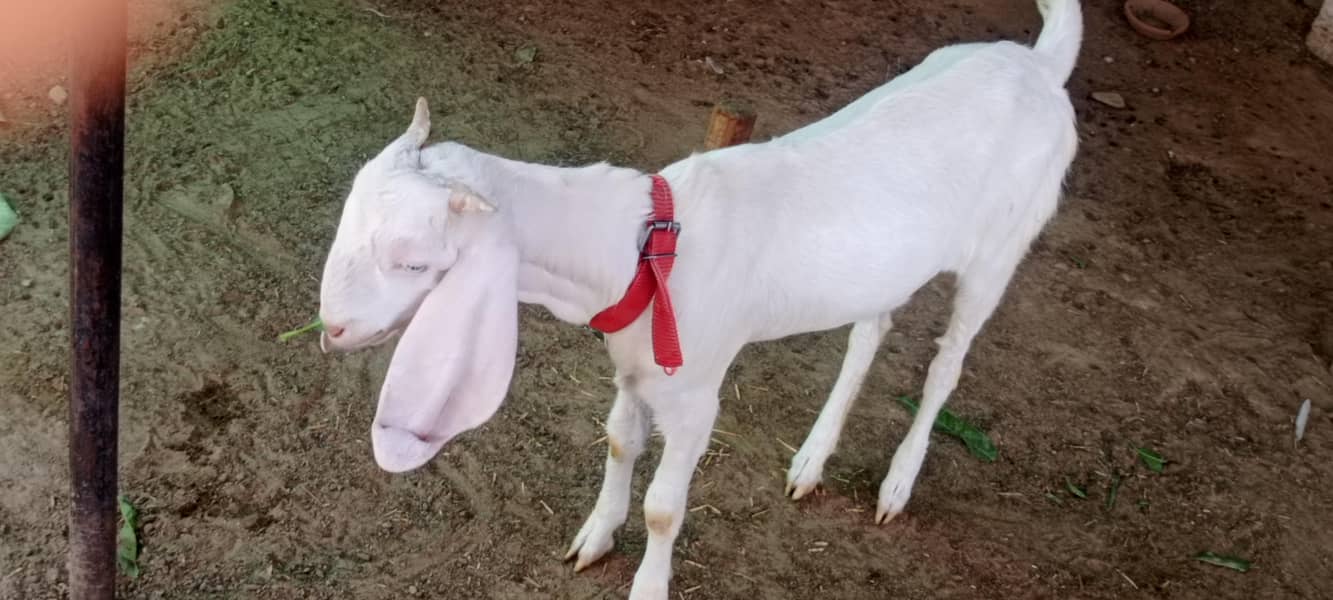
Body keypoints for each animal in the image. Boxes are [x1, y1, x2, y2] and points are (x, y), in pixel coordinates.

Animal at [316, 1, 1082, 597]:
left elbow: (663, 506)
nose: (331, 331)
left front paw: (647, 585)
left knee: (947, 365)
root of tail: (1038, 66)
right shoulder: (631, 364)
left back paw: (896, 484)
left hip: (1000, 248)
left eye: (413, 260)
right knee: (870, 331)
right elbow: (618, 441)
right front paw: (594, 536)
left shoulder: (694, 391)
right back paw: (811, 459)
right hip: (888, 263)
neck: (637, 248)